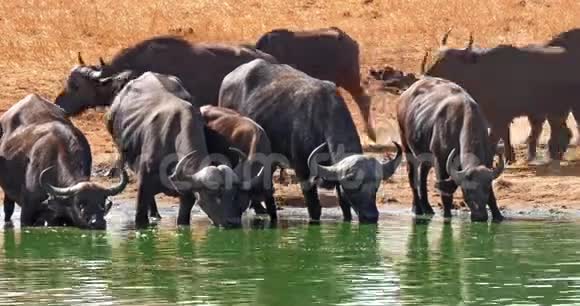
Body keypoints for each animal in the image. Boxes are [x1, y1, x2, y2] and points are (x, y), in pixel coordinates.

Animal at [0, 94, 128, 228]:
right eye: (80, 204)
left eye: (102, 203)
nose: (97, 222)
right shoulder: (27, 213)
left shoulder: (62, 219)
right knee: (8, 209)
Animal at [104, 70, 266, 226]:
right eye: (214, 194)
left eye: (234, 194)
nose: (233, 222)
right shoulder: (144, 183)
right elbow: (140, 217)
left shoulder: (188, 196)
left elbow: (182, 221)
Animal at [220, 58, 402, 224]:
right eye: (354, 186)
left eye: (376, 186)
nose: (371, 216)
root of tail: (228, 78)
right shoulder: (303, 173)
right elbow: (314, 209)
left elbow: (345, 208)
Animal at [396, 76, 506, 220]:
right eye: (466, 191)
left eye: (485, 189)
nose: (480, 216)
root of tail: (404, 95)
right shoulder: (440, 161)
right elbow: (446, 196)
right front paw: (447, 216)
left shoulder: (488, 160)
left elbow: (492, 197)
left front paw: (498, 215)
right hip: (406, 146)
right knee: (412, 176)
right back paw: (417, 208)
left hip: (425, 155)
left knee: (423, 175)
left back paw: (427, 208)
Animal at [420, 30, 576, 164]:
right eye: (436, 57)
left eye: (448, 60)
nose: (427, 75)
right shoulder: (496, 118)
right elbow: (504, 136)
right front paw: (509, 158)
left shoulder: (499, 118)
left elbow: (493, 139)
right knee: (559, 130)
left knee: (562, 131)